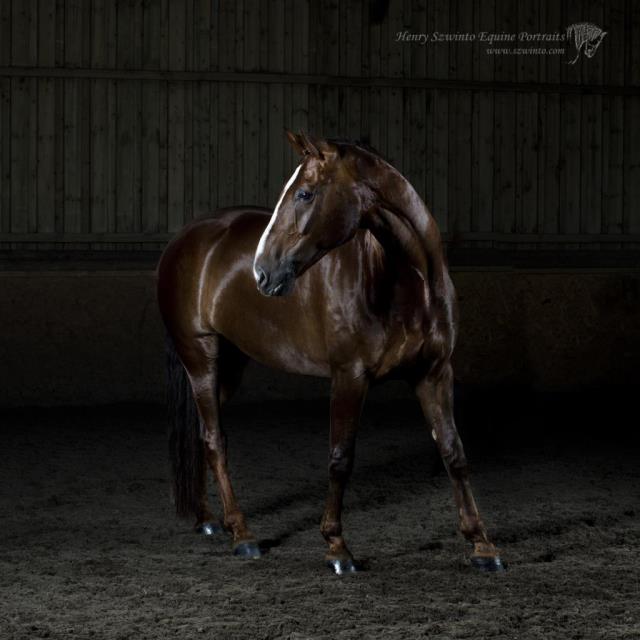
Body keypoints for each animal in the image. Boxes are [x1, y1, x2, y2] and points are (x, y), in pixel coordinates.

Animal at [158, 131, 502, 576]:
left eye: (305, 193)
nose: (262, 272)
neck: (408, 284)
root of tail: (186, 237)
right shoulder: (349, 376)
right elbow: (340, 458)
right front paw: (337, 548)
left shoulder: (434, 373)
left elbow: (453, 452)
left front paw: (482, 544)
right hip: (201, 359)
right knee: (216, 440)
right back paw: (242, 534)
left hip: (228, 367)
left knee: (203, 434)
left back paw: (207, 520)